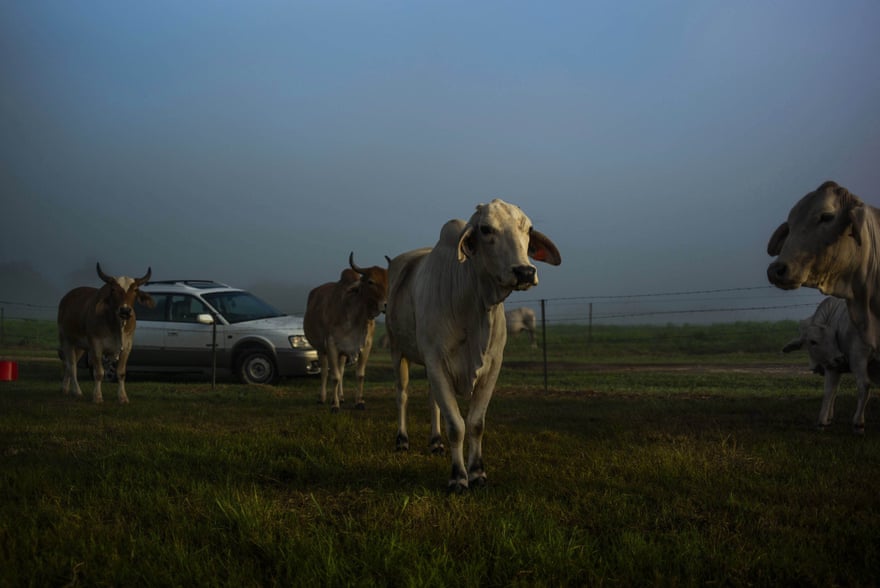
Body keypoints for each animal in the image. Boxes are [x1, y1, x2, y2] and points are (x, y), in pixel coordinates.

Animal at [386, 199, 564, 492]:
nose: (525, 271)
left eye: (528, 229)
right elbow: (456, 425)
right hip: (397, 350)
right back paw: (402, 440)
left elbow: (475, 423)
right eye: (486, 229)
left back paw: (435, 443)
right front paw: (458, 476)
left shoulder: (492, 366)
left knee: (433, 401)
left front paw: (477, 471)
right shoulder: (436, 361)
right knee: (402, 395)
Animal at [784, 298, 872, 432]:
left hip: (858, 356)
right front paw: (829, 417)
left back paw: (858, 423)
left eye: (833, 336)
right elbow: (835, 391)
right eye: (813, 341)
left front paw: (822, 421)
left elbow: (828, 391)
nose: (840, 359)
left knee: (864, 385)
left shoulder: (832, 367)